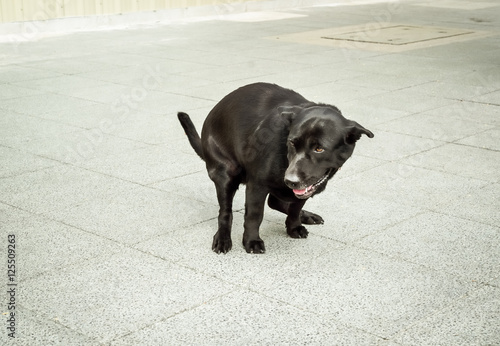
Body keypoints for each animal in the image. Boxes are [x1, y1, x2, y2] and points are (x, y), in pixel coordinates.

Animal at [178, 82, 374, 253]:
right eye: (292, 142)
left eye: (319, 149)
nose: (290, 180)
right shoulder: (257, 185)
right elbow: (254, 215)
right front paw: (251, 241)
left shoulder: (303, 189)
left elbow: (295, 208)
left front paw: (294, 226)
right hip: (226, 173)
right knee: (225, 212)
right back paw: (223, 238)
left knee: (276, 201)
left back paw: (306, 215)